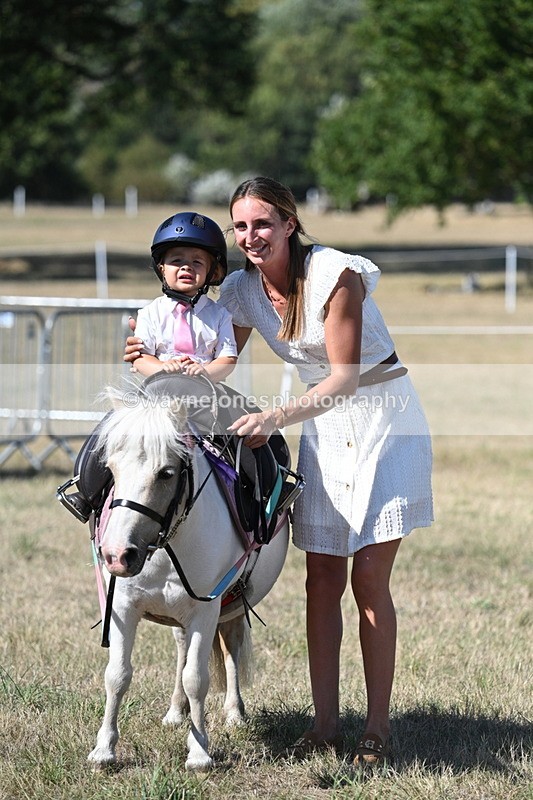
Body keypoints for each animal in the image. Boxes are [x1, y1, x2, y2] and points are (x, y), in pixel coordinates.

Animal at [84, 379, 299, 771]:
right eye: (111, 468)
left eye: (166, 473)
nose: (118, 555)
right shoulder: (122, 607)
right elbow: (117, 675)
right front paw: (103, 750)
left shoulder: (205, 610)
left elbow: (197, 678)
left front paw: (199, 753)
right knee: (182, 649)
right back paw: (175, 711)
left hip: (231, 606)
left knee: (230, 649)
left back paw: (234, 713)